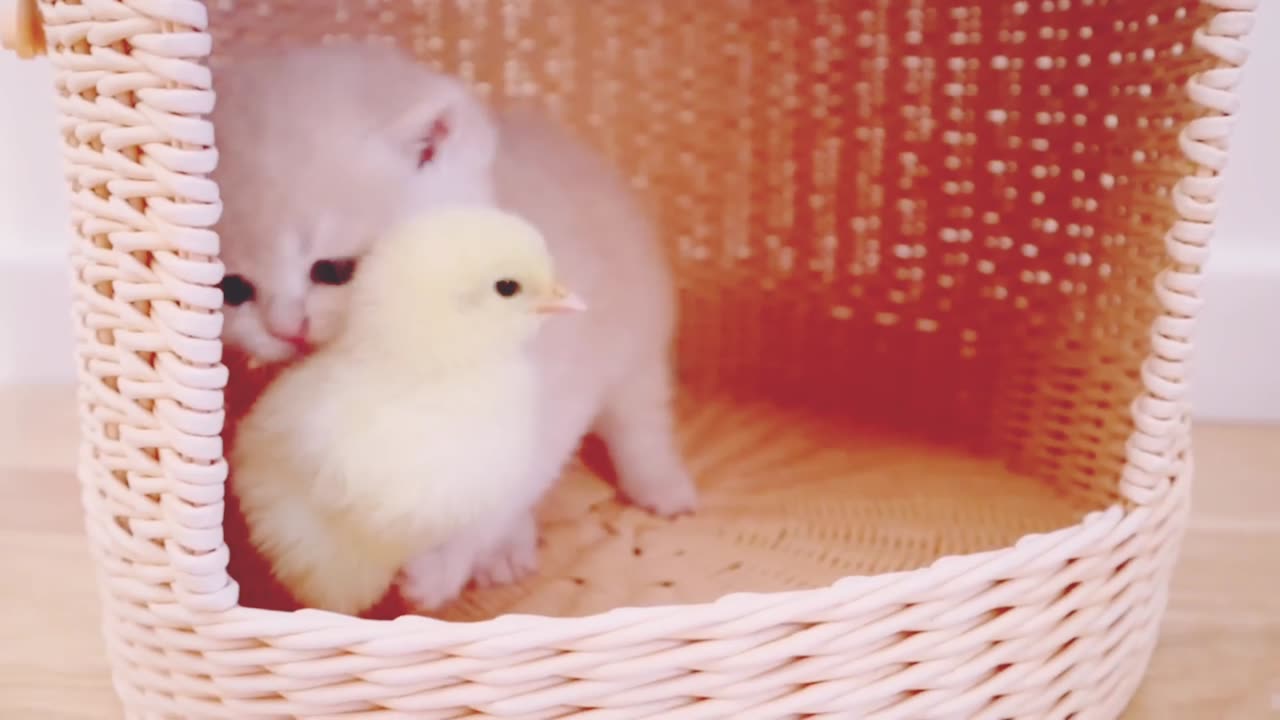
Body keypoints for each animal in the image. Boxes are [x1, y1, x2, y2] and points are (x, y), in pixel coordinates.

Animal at [212, 41, 701, 607]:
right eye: (232, 289)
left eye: (332, 270)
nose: (285, 328)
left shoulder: (550, 388)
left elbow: (498, 486)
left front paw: (440, 565)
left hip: (635, 332)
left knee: (639, 417)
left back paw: (661, 487)